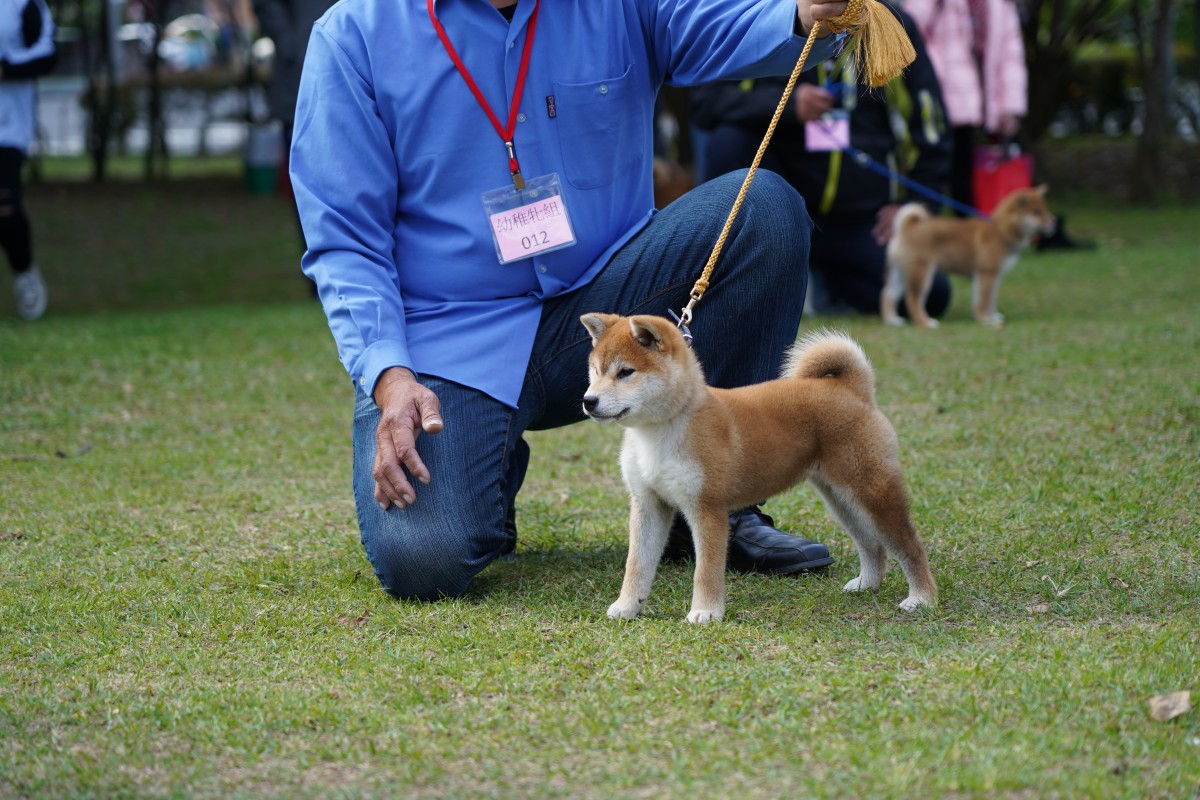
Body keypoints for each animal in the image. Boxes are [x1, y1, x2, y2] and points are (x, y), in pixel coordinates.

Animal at [580, 314, 936, 623]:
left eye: (625, 372)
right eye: (595, 371)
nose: (588, 401)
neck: (658, 433)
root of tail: (851, 389)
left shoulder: (707, 509)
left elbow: (705, 570)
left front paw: (706, 612)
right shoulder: (649, 504)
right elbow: (637, 564)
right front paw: (627, 606)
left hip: (872, 491)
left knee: (908, 544)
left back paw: (922, 597)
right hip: (841, 498)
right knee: (871, 543)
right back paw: (867, 584)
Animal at [883, 185, 1060, 328]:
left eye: (1044, 209)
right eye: (1037, 212)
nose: (1053, 222)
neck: (1001, 232)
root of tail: (908, 228)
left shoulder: (995, 276)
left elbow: (990, 299)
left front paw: (992, 315)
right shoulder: (986, 274)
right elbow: (984, 300)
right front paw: (986, 320)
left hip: (900, 272)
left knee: (888, 294)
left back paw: (893, 320)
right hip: (921, 272)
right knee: (912, 299)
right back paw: (925, 322)